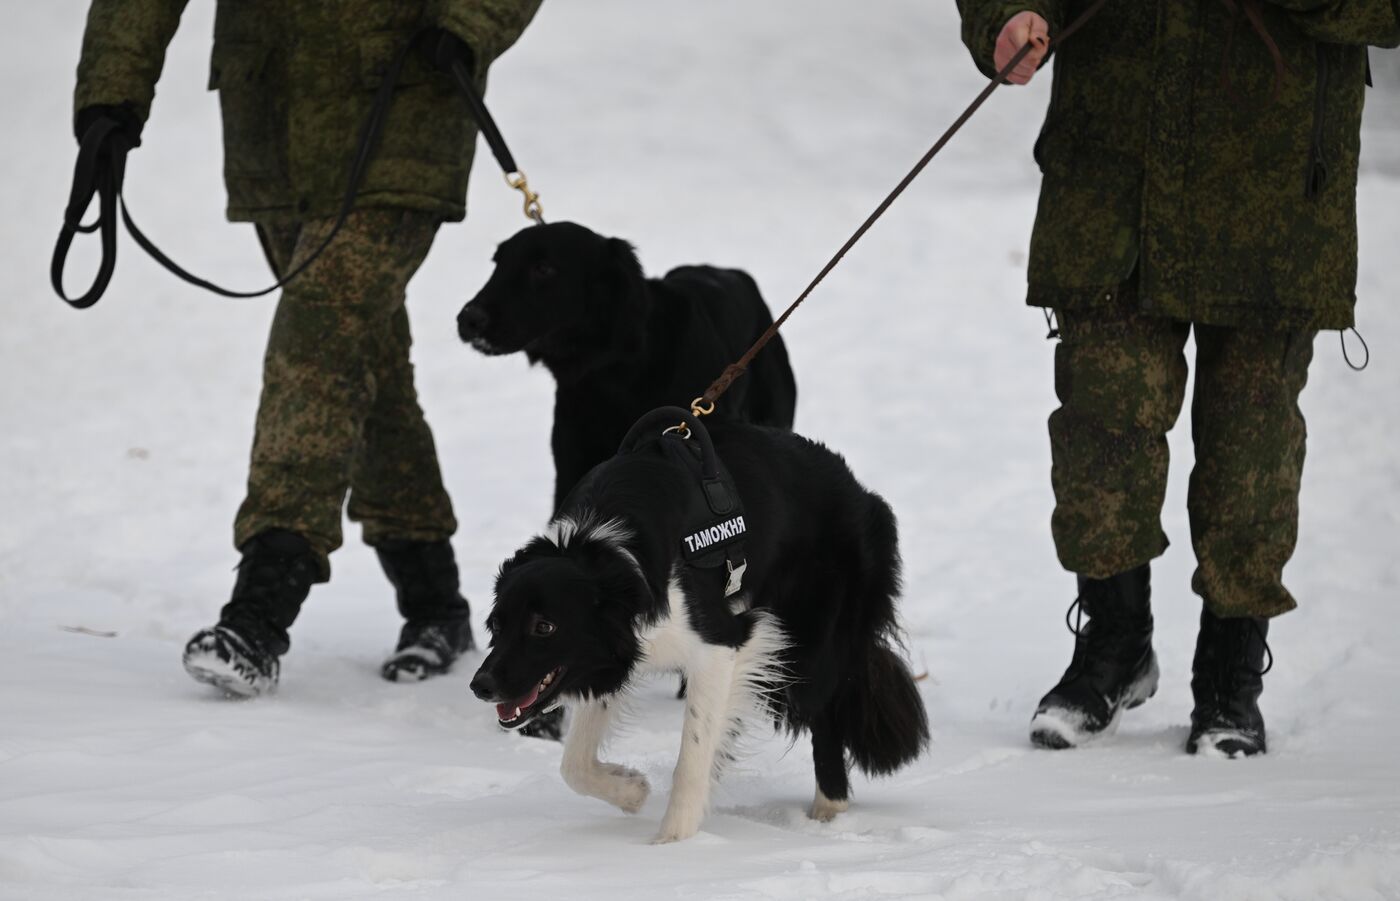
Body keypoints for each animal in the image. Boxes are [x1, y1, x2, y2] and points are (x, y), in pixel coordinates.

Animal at [470, 416, 929, 845]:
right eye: (495, 625)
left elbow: (691, 757)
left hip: (813, 637)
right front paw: (632, 790)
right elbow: (573, 765)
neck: (608, 555)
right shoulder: (612, 654)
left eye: (544, 627)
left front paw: (673, 844)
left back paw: (828, 816)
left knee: (826, 712)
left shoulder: (720, 644)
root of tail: (859, 490)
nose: (480, 686)